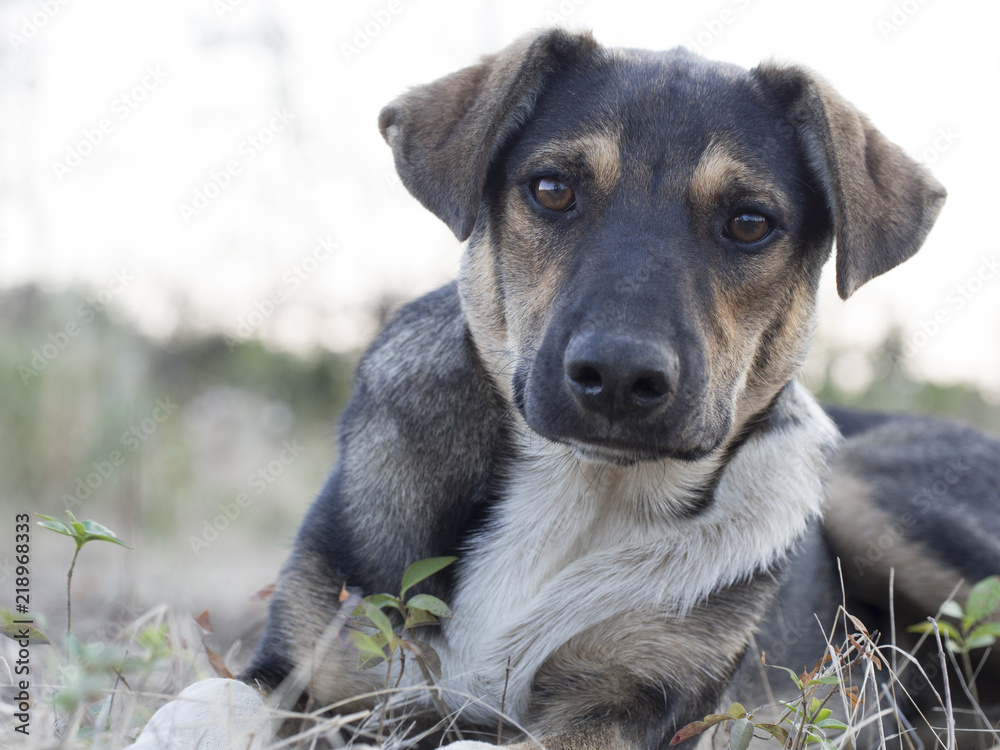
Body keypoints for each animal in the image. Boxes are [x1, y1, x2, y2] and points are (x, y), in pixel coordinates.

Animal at [135, 27, 1000, 750]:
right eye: (551, 189)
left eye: (750, 222)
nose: (619, 376)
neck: (579, 492)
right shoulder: (308, 662)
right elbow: (207, 700)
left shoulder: (627, 706)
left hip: (870, 493)